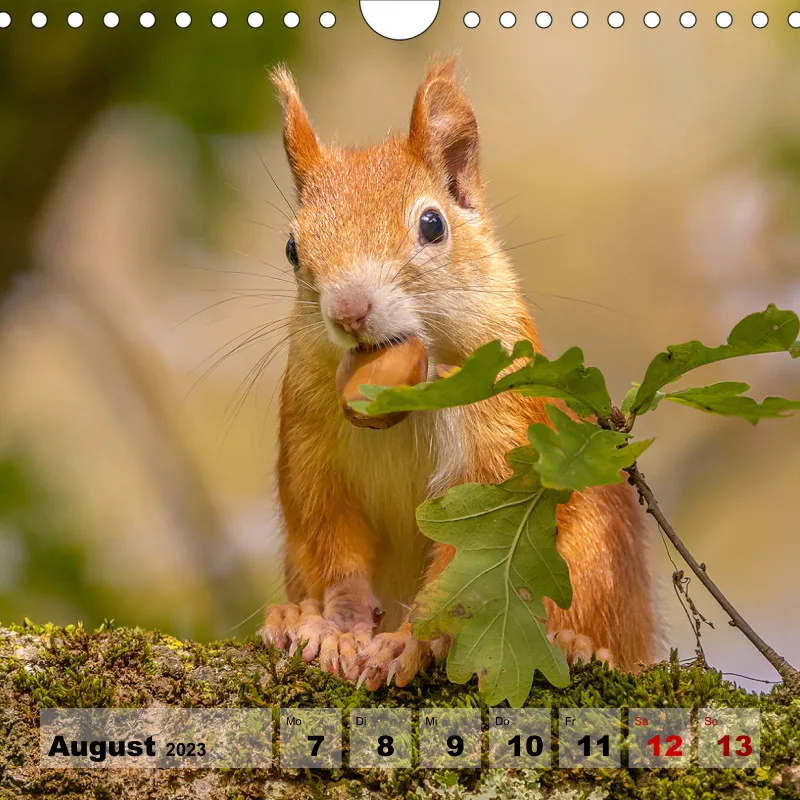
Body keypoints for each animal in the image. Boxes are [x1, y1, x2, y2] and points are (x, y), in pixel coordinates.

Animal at [261, 59, 659, 691]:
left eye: (432, 225)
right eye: (292, 248)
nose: (348, 310)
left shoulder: (503, 434)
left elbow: (468, 557)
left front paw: (405, 642)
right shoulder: (307, 436)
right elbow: (325, 531)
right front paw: (337, 626)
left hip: (599, 559)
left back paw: (577, 646)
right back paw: (290, 617)